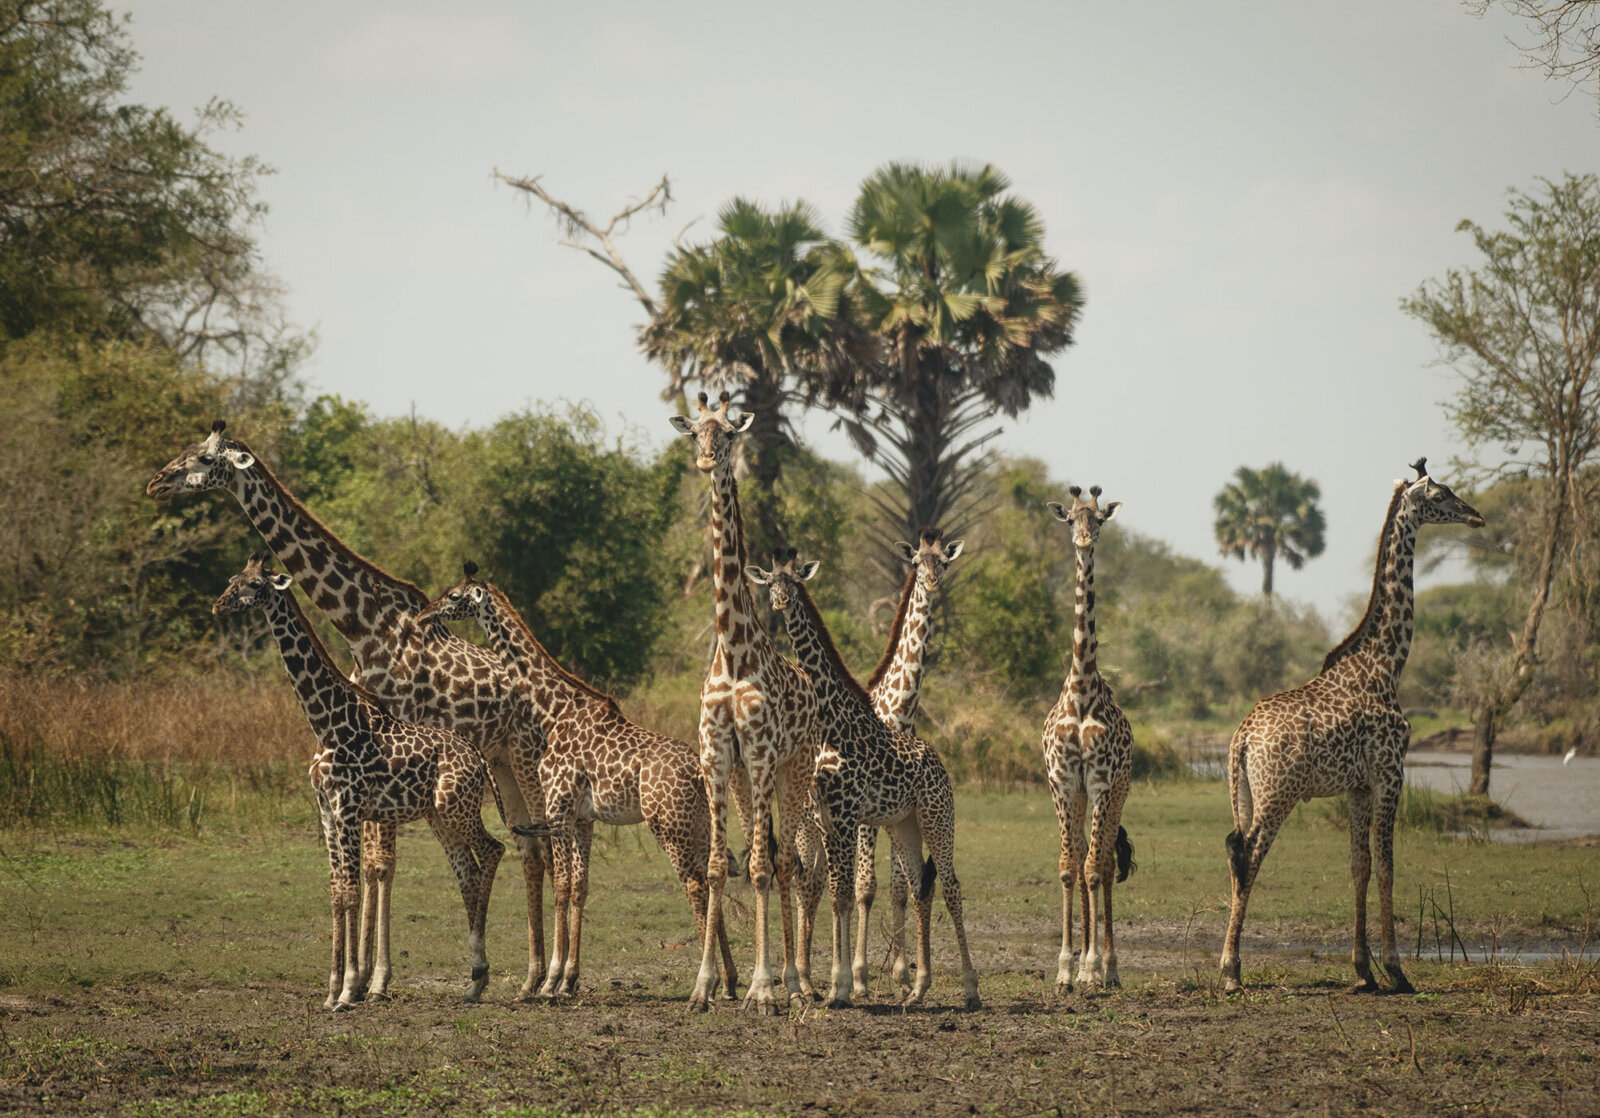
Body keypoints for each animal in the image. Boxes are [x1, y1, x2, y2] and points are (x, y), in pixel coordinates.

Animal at [213, 554, 505, 1010]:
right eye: (233, 579)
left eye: (255, 585)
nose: (219, 605)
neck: (326, 723)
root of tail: (478, 758)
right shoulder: (326, 810)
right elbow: (336, 891)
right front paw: (332, 988)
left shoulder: (348, 807)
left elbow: (351, 890)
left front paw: (350, 988)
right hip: (438, 817)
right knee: (468, 873)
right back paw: (473, 982)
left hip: (457, 808)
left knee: (493, 850)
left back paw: (478, 974)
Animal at [418, 562, 738, 1000]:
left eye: (453, 596)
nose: (424, 614)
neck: (553, 710)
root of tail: (696, 770)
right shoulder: (584, 818)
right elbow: (580, 886)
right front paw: (568, 980)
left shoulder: (559, 807)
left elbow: (563, 884)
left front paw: (551, 981)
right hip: (701, 822)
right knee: (712, 877)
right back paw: (732, 982)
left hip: (667, 823)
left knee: (694, 883)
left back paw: (705, 985)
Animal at [749, 550, 980, 1010]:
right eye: (770, 583)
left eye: (795, 583)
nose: (781, 603)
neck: (832, 720)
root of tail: (940, 763)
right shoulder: (828, 815)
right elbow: (836, 891)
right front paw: (836, 986)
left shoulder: (847, 813)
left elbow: (849, 891)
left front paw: (844, 985)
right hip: (902, 824)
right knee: (918, 887)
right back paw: (917, 990)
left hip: (937, 818)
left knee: (950, 885)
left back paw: (969, 989)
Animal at [1220, 459, 1484, 994]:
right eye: (1442, 495)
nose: (1476, 515)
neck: (1387, 665)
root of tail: (1242, 737)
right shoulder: (1390, 774)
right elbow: (1386, 866)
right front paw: (1397, 970)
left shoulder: (1358, 786)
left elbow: (1358, 866)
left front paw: (1364, 970)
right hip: (1278, 794)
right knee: (1248, 856)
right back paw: (1232, 971)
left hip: (1245, 793)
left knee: (1234, 853)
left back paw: (1230, 965)